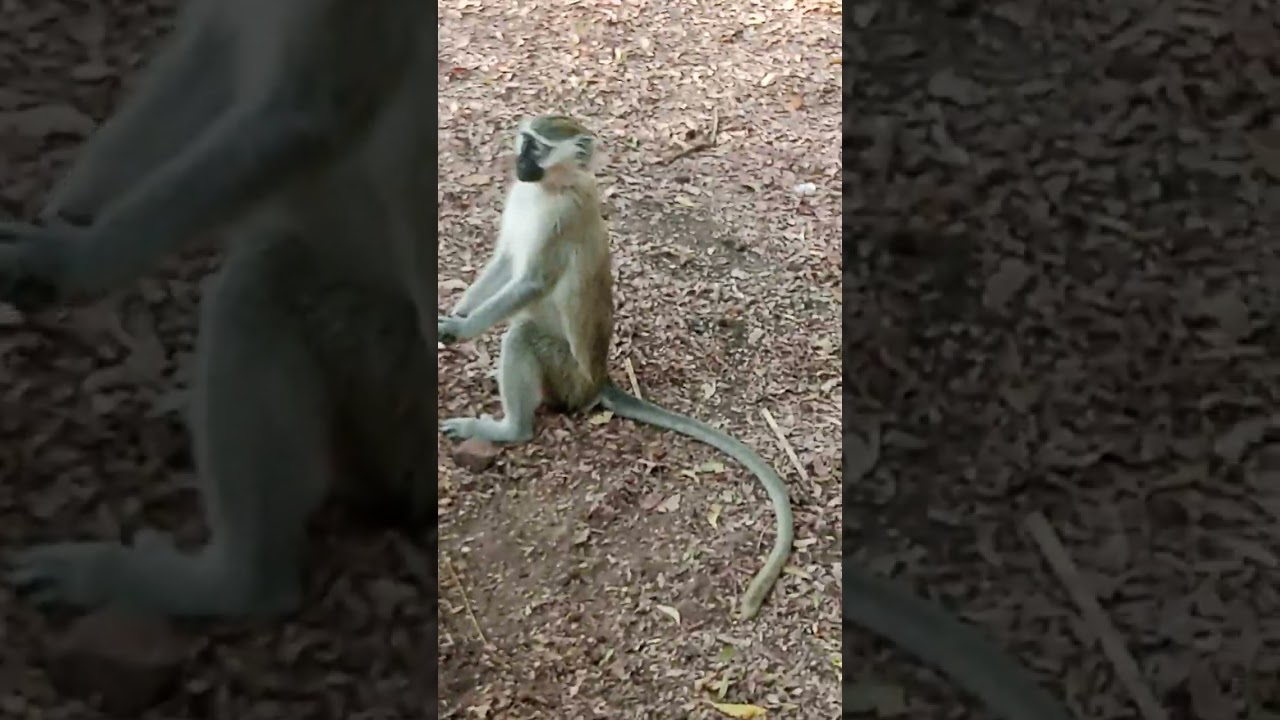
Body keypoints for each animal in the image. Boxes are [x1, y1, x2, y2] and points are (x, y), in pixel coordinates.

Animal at [0, 0, 436, 618]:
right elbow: (212, 45)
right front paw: (67, 213)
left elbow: (304, 114)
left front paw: (73, 260)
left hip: (396, 379)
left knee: (261, 281)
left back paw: (235, 585)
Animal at [437, 116, 1074, 720]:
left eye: (539, 148)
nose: (520, 161)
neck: (551, 189)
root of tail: (600, 382)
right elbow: (502, 264)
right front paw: (458, 312)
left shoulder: (560, 220)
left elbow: (528, 281)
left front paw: (458, 330)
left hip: (566, 373)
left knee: (522, 335)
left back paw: (507, 429)